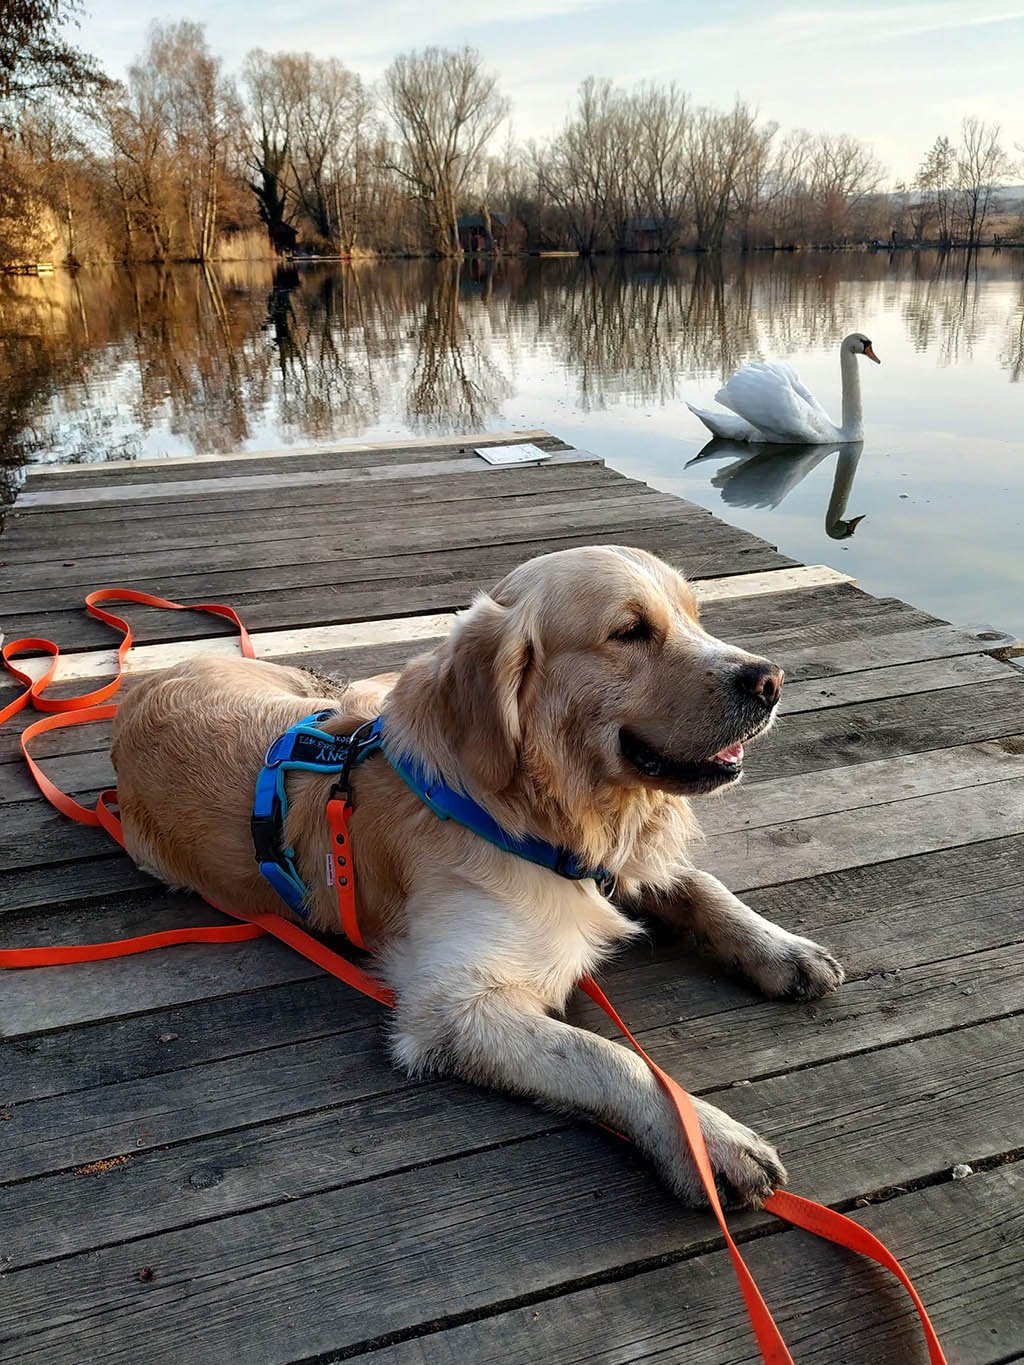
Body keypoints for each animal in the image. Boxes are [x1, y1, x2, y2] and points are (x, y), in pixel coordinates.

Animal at [111, 543, 846, 1206]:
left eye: (696, 615)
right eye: (630, 631)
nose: (770, 680)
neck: (537, 815)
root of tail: (142, 685)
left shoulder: (615, 865)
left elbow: (699, 884)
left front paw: (781, 949)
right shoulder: (456, 1007)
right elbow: (608, 1056)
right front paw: (710, 1142)